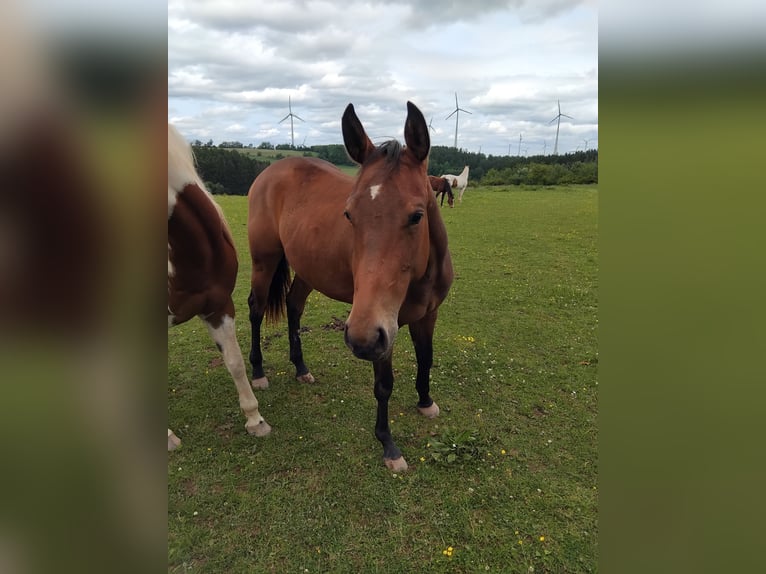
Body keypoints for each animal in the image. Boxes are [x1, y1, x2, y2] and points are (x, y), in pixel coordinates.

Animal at [246, 102, 454, 472]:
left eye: (417, 216)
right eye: (349, 215)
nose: (360, 337)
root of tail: (269, 173)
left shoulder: (426, 315)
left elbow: (426, 358)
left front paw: (426, 402)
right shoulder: (382, 330)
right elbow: (384, 385)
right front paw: (388, 445)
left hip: (308, 272)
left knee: (294, 307)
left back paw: (301, 369)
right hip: (263, 262)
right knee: (256, 310)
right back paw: (257, 371)